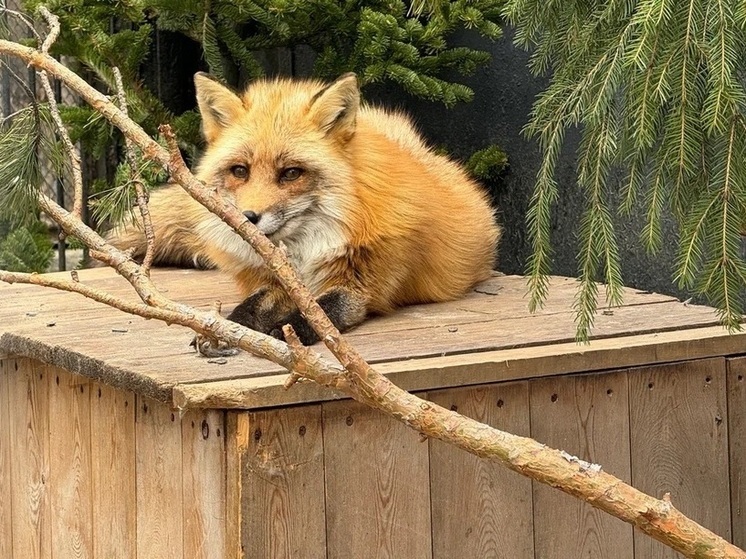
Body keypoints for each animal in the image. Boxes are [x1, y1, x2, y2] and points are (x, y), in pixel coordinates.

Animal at [109, 72, 500, 348]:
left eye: (291, 173)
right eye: (240, 171)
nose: (249, 218)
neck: (307, 248)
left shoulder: (363, 287)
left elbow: (321, 317)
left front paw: (286, 335)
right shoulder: (278, 280)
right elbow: (249, 308)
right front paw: (228, 330)